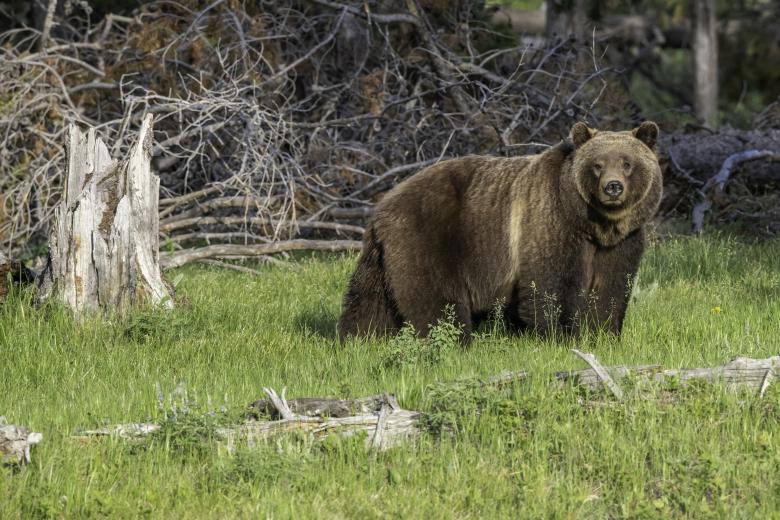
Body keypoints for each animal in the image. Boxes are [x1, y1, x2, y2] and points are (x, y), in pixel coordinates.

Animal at [337, 121, 663, 341]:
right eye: (597, 164)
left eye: (627, 163)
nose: (613, 187)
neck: (594, 225)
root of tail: (381, 206)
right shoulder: (551, 222)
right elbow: (550, 286)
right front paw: (558, 335)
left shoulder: (621, 243)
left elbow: (611, 289)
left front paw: (602, 333)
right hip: (429, 239)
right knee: (436, 301)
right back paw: (456, 341)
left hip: (384, 257)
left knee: (370, 300)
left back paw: (358, 339)